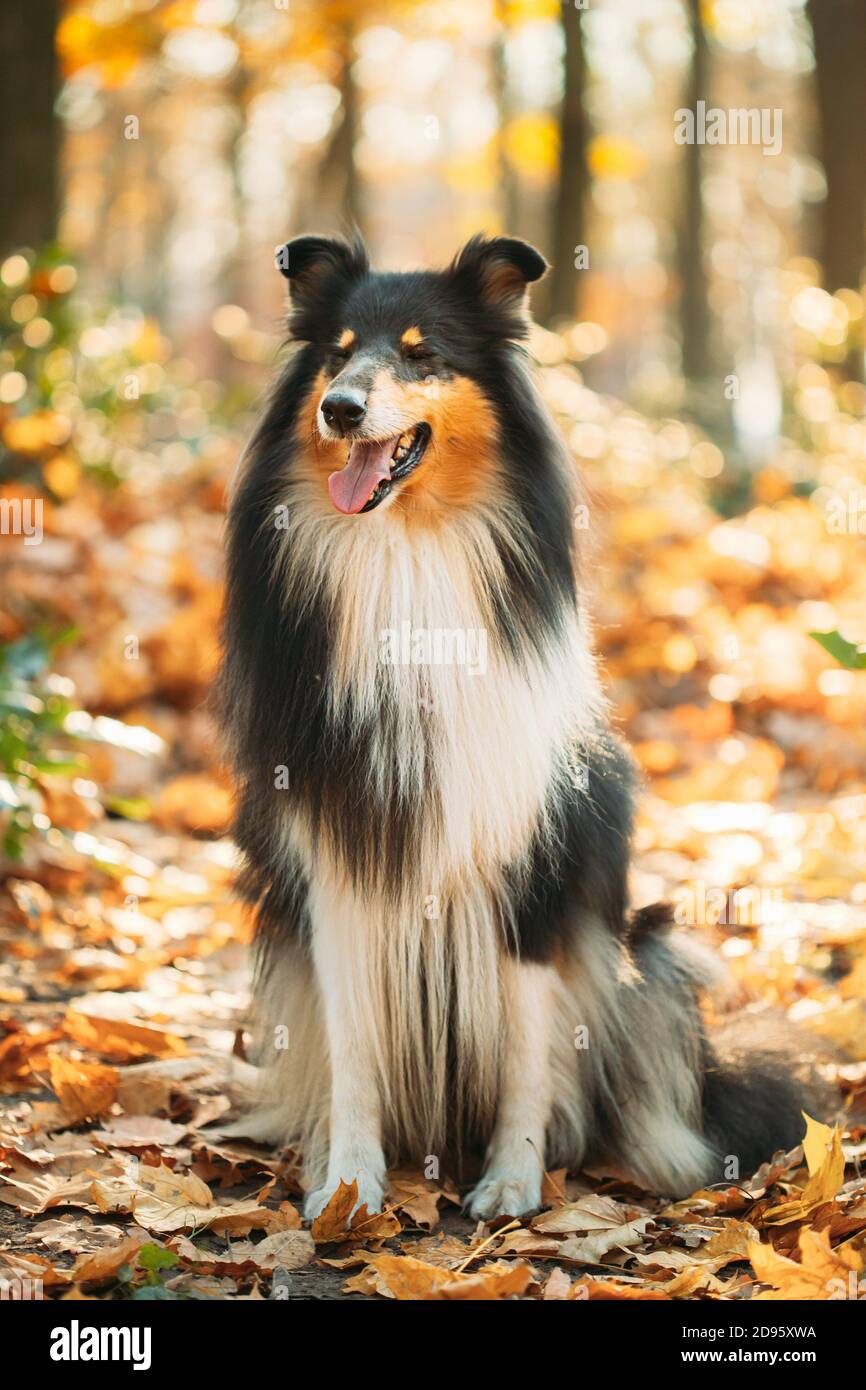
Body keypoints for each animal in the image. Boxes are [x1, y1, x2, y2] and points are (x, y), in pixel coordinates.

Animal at [216, 233, 828, 1223]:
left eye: (424, 354)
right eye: (336, 354)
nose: (340, 409)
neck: (410, 557)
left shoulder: (537, 864)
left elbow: (529, 1051)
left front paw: (512, 1181)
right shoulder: (334, 867)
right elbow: (352, 1050)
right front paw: (349, 1186)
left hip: (651, 956)